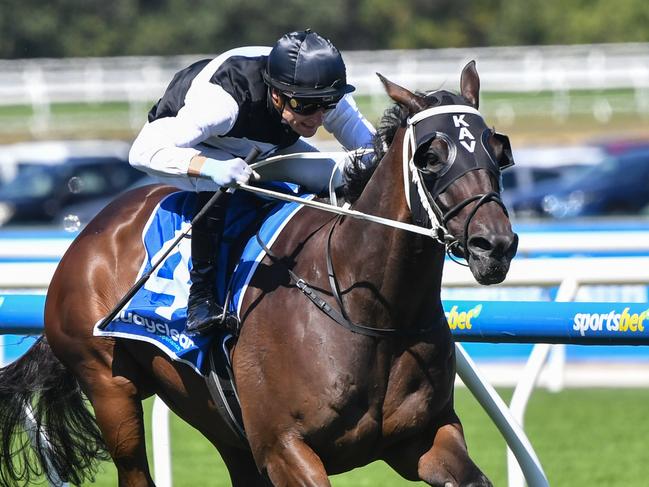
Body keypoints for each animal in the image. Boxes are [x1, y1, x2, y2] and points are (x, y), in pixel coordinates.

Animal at [0, 62, 516, 487]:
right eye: (431, 156)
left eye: (496, 148)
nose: (495, 245)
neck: (367, 309)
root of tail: (90, 231)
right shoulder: (285, 449)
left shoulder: (424, 437)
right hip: (110, 389)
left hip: (215, 419)